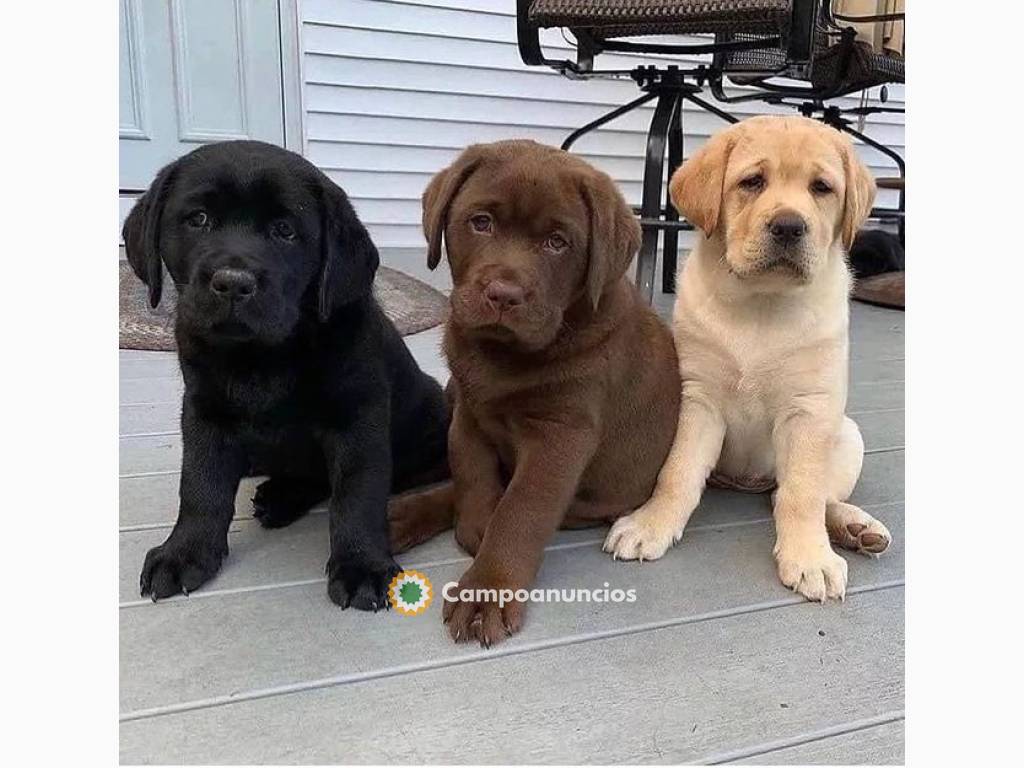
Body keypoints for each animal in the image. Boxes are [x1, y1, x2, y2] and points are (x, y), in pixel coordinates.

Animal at [122, 141, 448, 610]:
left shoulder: (358, 415)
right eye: (198, 219)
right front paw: (184, 552)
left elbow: (357, 493)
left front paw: (361, 565)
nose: (233, 283)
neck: (263, 356)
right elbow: (199, 485)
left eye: (284, 230)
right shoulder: (203, 410)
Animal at [602, 117, 892, 606]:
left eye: (821, 188)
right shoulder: (696, 399)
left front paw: (810, 557)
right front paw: (651, 523)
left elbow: (802, 494)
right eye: (752, 182)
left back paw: (855, 526)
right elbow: (677, 473)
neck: (761, 303)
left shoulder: (809, 411)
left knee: (803, 496)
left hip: (846, 436)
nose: (790, 226)